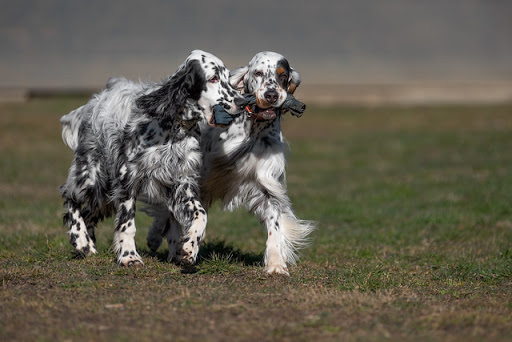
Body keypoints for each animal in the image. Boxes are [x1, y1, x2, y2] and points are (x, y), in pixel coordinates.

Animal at [58, 49, 246, 266]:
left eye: (228, 78)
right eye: (213, 78)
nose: (242, 102)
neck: (172, 129)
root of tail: (94, 102)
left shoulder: (181, 182)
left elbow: (200, 215)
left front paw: (188, 249)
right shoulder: (127, 179)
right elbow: (127, 224)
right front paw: (129, 256)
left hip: (105, 194)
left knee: (88, 214)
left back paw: (89, 246)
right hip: (92, 177)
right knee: (69, 197)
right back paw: (80, 239)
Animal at [145, 51, 316, 276]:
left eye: (283, 75)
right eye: (258, 73)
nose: (271, 95)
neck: (252, 132)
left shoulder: (266, 184)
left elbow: (274, 223)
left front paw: (276, 263)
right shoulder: (196, 180)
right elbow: (187, 216)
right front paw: (186, 248)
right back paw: (156, 238)